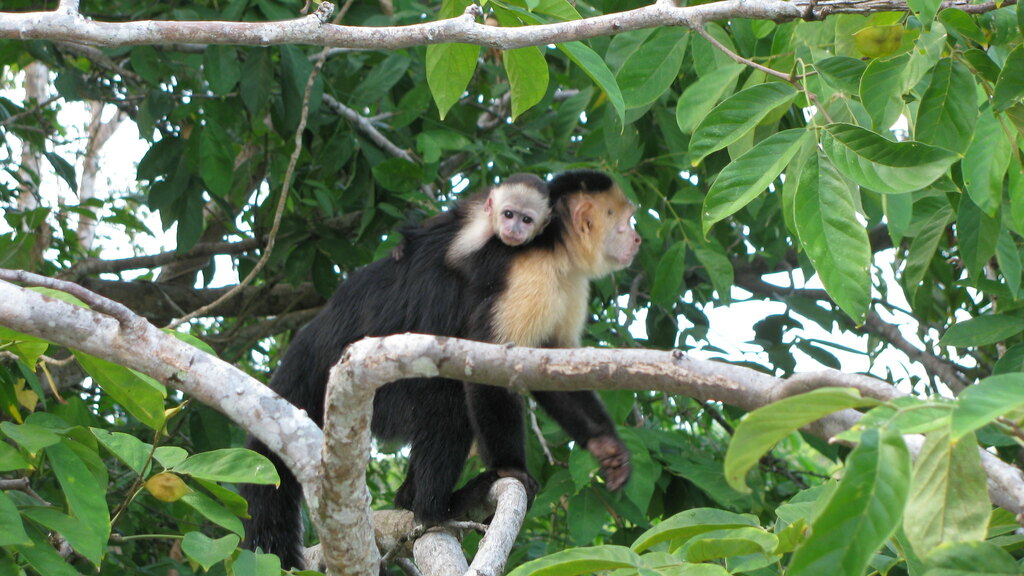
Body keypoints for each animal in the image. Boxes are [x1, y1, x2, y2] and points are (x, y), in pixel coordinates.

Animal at [241, 170, 640, 570]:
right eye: (625, 222)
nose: (636, 239)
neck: (554, 248)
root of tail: (317, 333)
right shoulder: (528, 276)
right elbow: (489, 370)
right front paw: (510, 470)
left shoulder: (566, 286)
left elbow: (546, 368)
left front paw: (606, 447)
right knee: (447, 398)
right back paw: (434, 510)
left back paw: (411, 500)